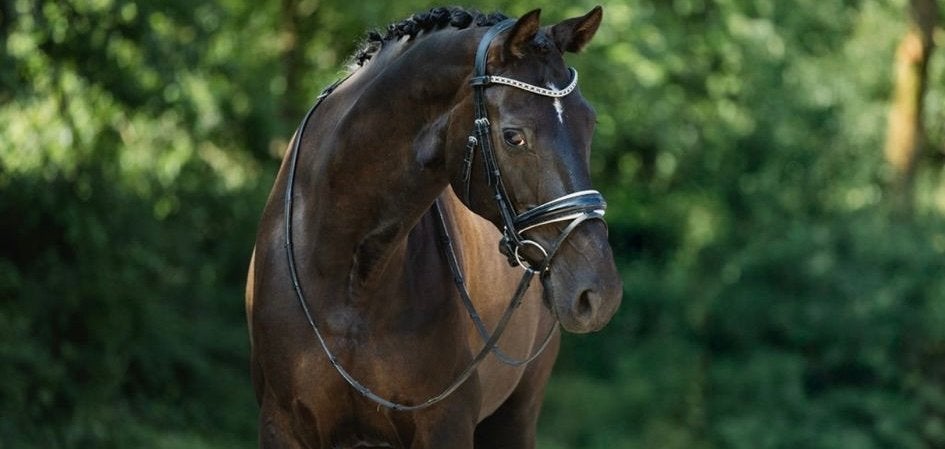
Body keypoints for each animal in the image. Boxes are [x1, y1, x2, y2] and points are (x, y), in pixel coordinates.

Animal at [245, 6, 622, 448]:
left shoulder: (446, 425)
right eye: (513, 137)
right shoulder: (281, 425)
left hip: (516, 415)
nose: (598, 293)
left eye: (590, 124)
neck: (346, 275)